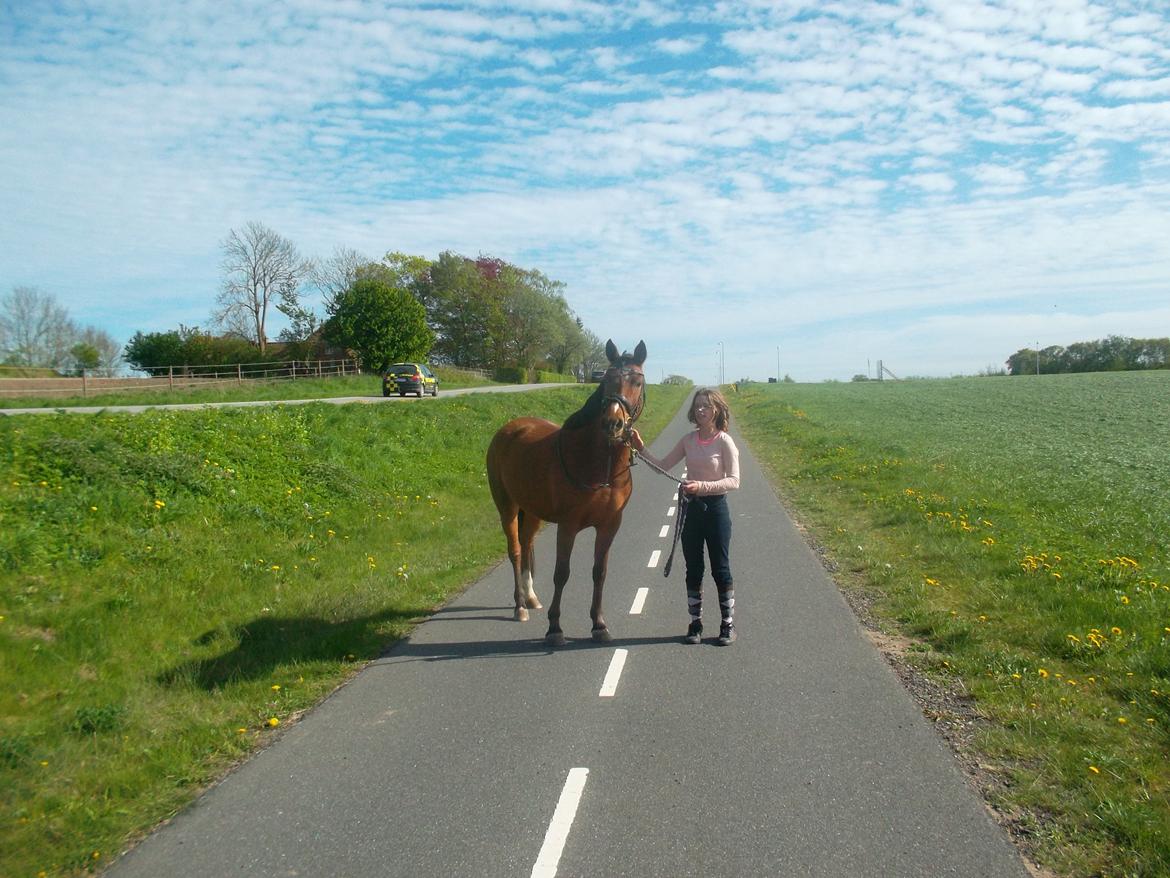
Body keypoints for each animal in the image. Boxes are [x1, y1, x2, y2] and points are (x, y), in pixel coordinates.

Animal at [486, 339, 647, 646]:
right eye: (607, 379)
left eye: (637, 381)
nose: (613, 424)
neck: (598, 465)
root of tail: (508, 429)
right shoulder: (568, 526)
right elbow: (561, 573)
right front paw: (554, 628)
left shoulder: (610, 525)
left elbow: (599, 572)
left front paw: (599, 624)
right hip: (507, 506)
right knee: (515, 550)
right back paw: (520, 606)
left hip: (532, 511)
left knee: (526, 543)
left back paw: (531, 597)